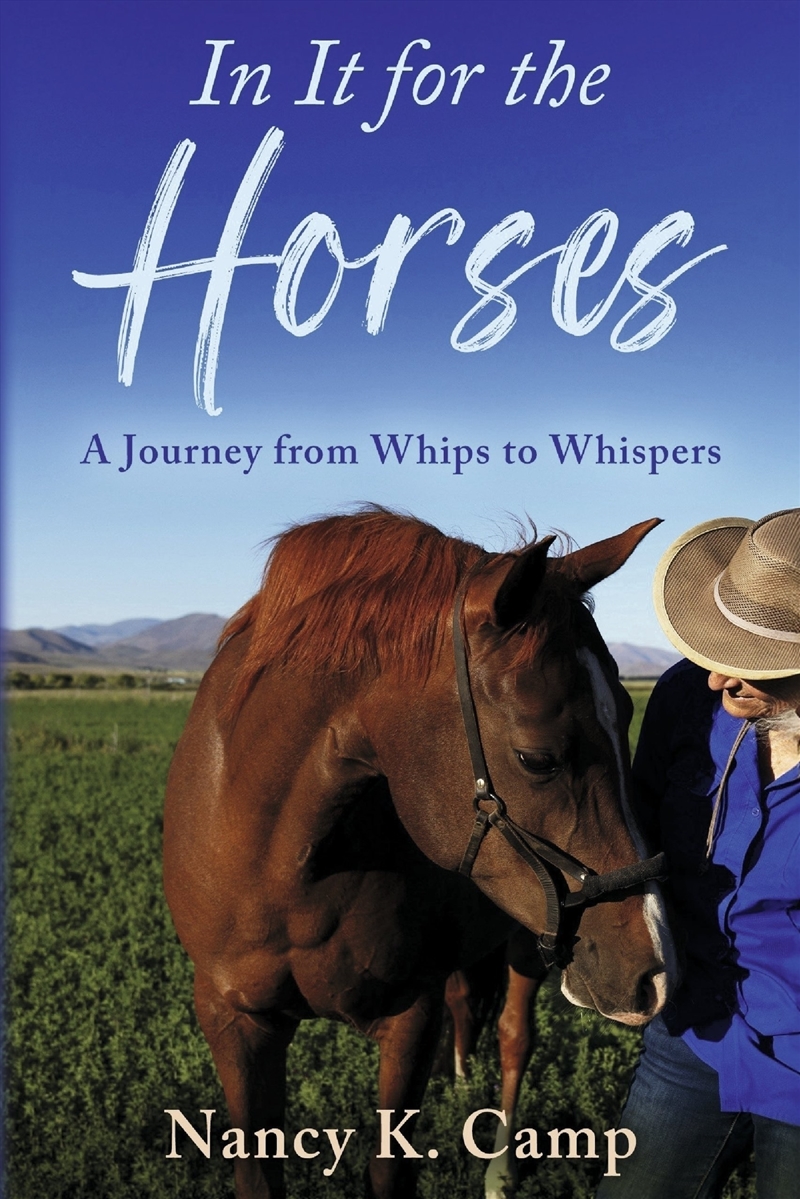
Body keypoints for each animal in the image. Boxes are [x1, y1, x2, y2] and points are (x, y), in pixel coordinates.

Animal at [163, 508, 674, 1199]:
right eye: (537, 758)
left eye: (627, 717)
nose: (655, 972)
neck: (284, 863)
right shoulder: (235, 1021)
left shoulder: (408, 1015)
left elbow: (390, 1168)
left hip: (530, 944)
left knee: (515, 1038)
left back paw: (499, 1170)